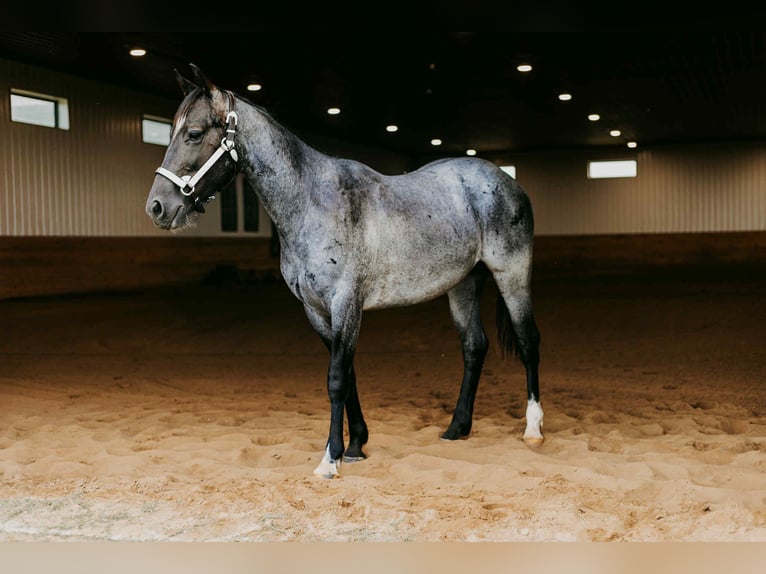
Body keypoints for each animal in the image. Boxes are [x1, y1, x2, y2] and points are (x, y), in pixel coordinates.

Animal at [145, 64, 543, 478]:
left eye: (193, 134)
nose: (157, 207)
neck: (312, 202)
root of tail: (505, 180)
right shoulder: (316, 310)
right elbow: (348, 374)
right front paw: (356, 446)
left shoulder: (345, 303)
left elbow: (336, 378)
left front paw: (331, 458)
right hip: (463, 284)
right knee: (474, 346)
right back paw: (457, 427)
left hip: (512, 274)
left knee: (528, 340)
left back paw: (533, 430)